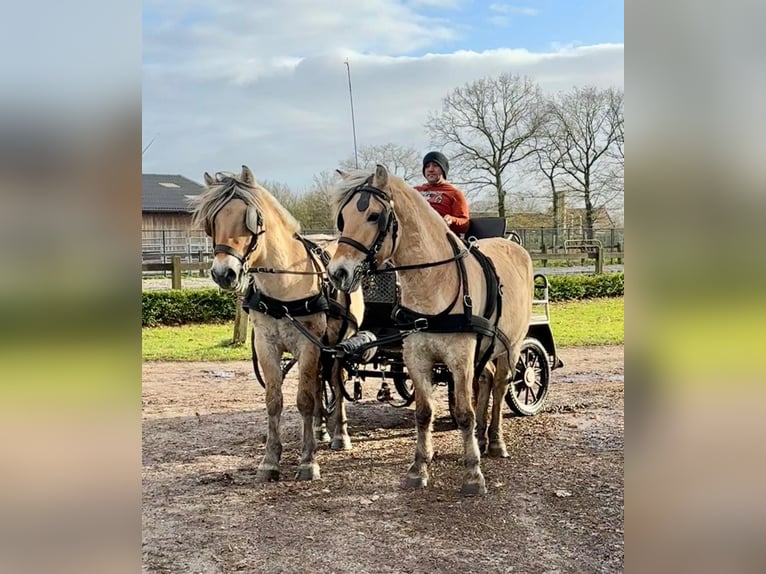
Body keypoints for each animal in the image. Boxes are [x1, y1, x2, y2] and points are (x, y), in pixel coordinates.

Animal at [189, 165, 364, 482]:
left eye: (250, 219)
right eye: (211, 222)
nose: (223, 273)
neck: (285, 285)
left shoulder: (309, 344)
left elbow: (304, 399)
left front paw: (308, 461)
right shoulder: (266, 344)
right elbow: (275, 400)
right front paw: (270, 461)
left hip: (337, 343)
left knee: (335, 379)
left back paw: (339, 434)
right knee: (320, 384)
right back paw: (320, 429)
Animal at [326, 165, 536, 496]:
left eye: (374, 216)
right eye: (342, 218)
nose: (338, 273)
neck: (435, 282)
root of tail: (515, 246)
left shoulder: (460, 359)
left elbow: (463, 412)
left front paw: (473, 474)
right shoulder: (416, 357)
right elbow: (424, 413)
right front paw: (419, 467)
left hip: (511, 347)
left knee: (501, 386)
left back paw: (495, 441)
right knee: (486, 380)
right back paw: (482, 436)